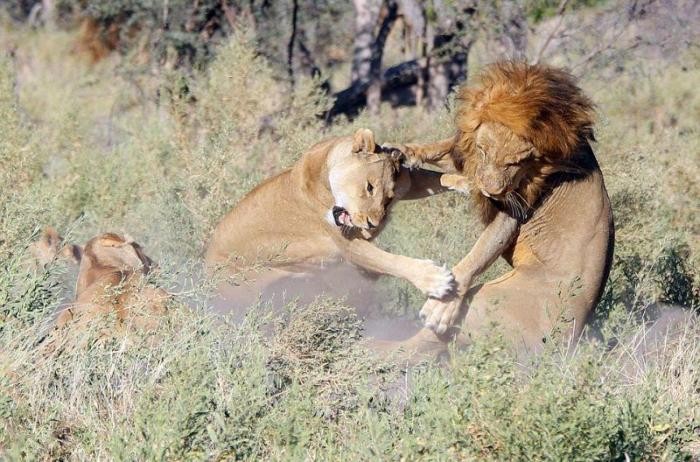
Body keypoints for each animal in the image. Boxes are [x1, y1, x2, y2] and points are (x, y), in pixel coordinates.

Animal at [204, 128, 454, 304]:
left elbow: (438, 179)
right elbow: (389, 261)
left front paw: (460, 181)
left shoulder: (408, 181)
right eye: (369, 187)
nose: (373, 224)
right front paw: (435, 280)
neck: (327, 165)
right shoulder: (347, 244)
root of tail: (206, 262)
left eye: (389, 198)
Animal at [394, 62, 612, 354]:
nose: (492, 191)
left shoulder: (515, 209)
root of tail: (567, 341)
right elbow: (445, 150)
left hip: (483, 299)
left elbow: (479, 253)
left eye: (515, 164)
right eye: (484, 151)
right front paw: (401, 151)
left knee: (417, 347)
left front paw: (443, 305)